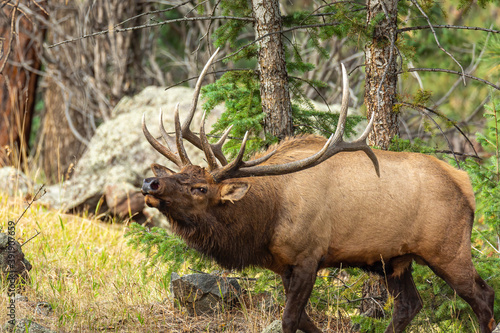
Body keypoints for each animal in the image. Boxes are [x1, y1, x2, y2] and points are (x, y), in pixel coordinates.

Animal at [141, 50, 496, 332]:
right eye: (177, 174)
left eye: (200, 188)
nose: (150, 183)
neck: (265, 220)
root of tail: (465, 183)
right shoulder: (284, 265)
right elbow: (302, 320)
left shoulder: (308, 256)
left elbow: (290, 319)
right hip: (394, 259)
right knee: (410, 304)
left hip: (448, 248)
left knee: (483, 296)